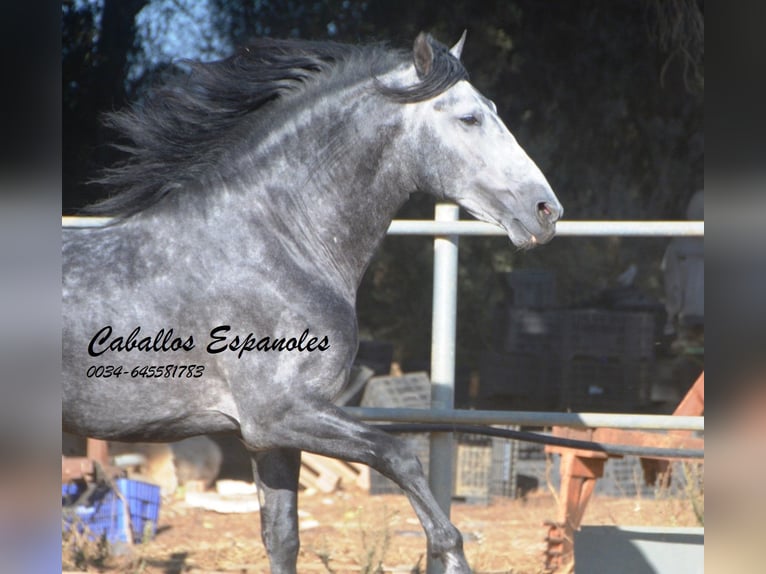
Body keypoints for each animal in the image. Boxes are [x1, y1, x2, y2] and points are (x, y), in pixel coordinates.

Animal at [64, 33, 564, 572]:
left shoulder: (268, 438)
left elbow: (282, 538)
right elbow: (402, 458)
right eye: (469, 118)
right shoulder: (283, 413)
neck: (274, 244)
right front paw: (448, 555)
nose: (547, 210)